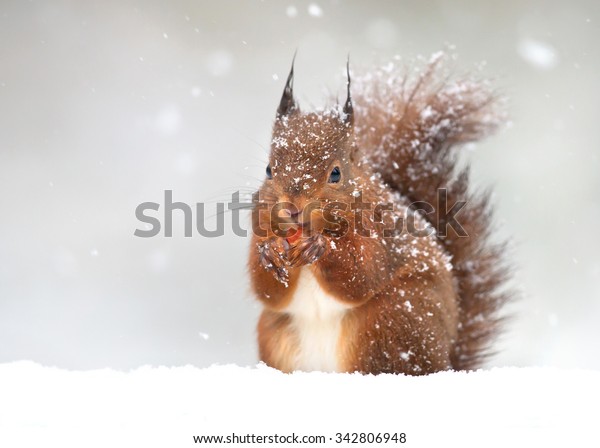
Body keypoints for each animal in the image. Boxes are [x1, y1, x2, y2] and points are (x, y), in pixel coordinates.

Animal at [248, 53, 510, 374]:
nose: (292, 207)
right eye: (268, 170)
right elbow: (267, 291)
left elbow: (362, 273)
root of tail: (446, 360)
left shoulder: (382, 232)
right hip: (276, 334)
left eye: (335, 173)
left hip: (389, 322)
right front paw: (270, 253)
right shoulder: (260, 224)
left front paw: (321, 246)